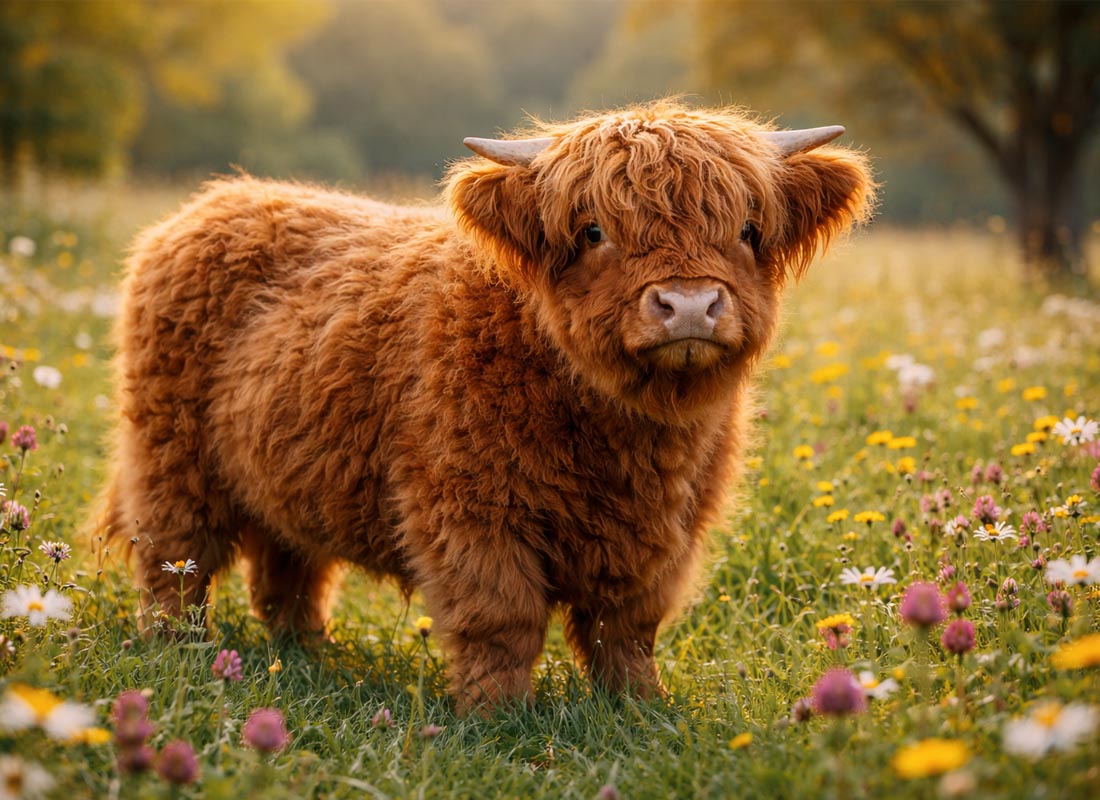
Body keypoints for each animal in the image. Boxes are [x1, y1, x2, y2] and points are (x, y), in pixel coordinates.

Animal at [101, 102, 873, 713]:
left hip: (290, 470)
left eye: (747, 230)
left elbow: (625, 627)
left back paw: (308, 656)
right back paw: (177, 650)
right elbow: (502, 622)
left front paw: (640, 708)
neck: (621, 436)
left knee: (286, 572)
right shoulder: (470, 513)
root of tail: (223, 198)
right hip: (170, 456)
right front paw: (496, 717)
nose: (688, 305)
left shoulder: (664, 531)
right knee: (175, 559)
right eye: (594, 231)